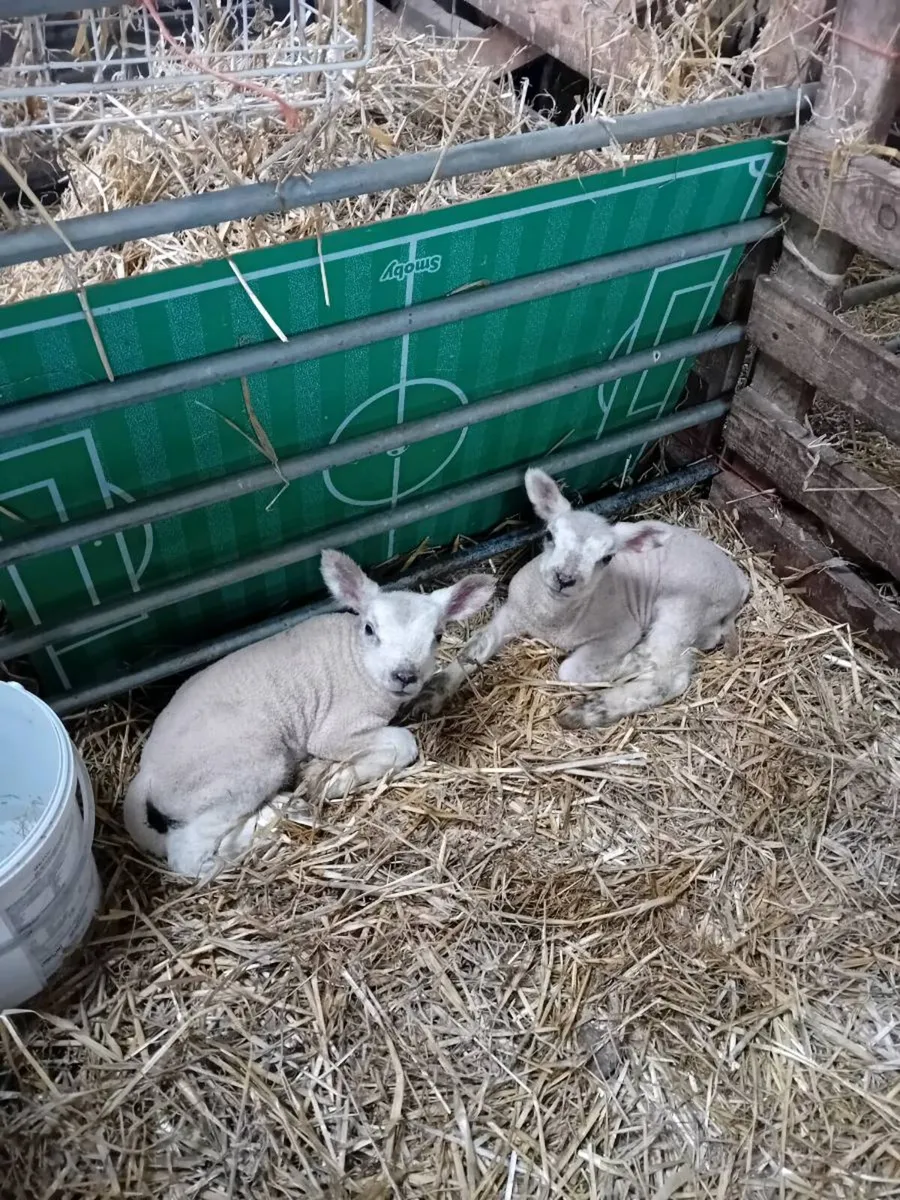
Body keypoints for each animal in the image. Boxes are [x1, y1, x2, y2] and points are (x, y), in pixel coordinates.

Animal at [124, 549, 495, 880]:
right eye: (370, 629)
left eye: (438, 636)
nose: (405, 676)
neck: (358, 664)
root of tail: (147, 771)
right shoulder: (336, 729)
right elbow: (403, 743)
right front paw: (333, 779)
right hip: (240, 770)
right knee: (185, 853)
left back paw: (281, 811)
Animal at [409, 468, 749, 729]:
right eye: (549, 535)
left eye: (607, 558)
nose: (564, 578)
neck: (552, 619)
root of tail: (740, 578)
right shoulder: (513, 610)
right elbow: (474, 648)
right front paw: (431, 693)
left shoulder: (619, 631)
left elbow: (570, 671)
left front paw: (618, 666)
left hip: (683, 609)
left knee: (669, 672)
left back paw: (592, 708)